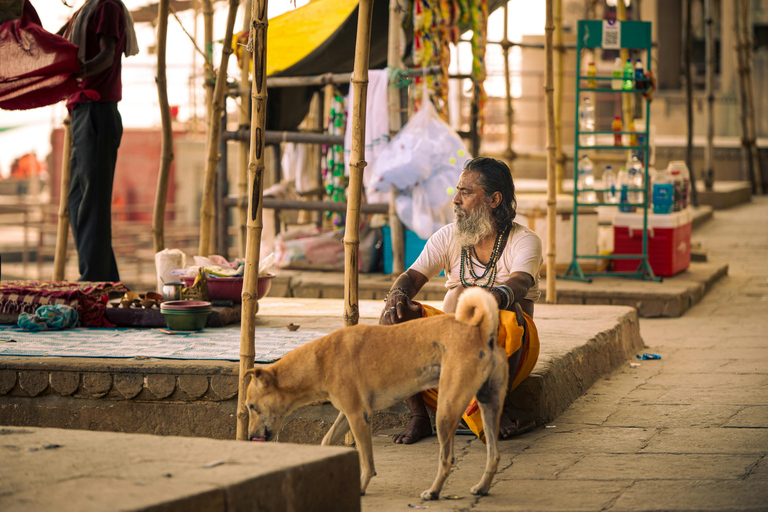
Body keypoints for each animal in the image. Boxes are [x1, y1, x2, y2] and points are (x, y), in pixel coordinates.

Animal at [246, 288, 508, 500]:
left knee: (447, 460)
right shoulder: (348, 413)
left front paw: (360, 488)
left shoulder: (358, 417)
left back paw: (433, 492)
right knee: (494, 454)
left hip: (446, 410)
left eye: (250, 406)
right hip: (488, 405)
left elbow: (366, 462)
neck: (319, 360)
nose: (249, 438)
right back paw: (482, 487)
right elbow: (326, 440)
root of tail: (482, 331)